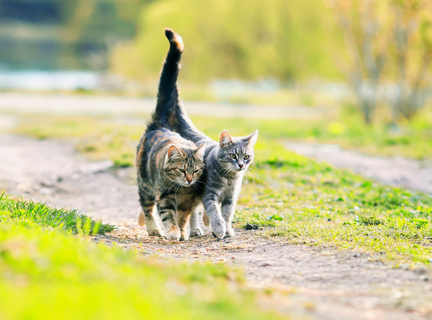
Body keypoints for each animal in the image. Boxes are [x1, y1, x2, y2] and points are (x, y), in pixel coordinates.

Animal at [138, 30, 207, 240]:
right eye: (182, 170)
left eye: (196, 170)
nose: (190, 179)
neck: (183, 190)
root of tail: (159, 124)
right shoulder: (165, 196)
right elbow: (168, 215)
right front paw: (173, 231)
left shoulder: (189, 201)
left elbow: (184, 217)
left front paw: (183, 231)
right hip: (146, 185)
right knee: (147, 206)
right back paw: (153, 228)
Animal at [157, 28, 256, 239]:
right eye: (233, 155)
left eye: (246, 157)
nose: (241, 165)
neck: (229, 179)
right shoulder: (209, 193)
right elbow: (215, 212)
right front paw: (219, 228)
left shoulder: (230, 198)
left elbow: (226, 214)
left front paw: (227, 229)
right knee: (193, 210)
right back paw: (196, 228)